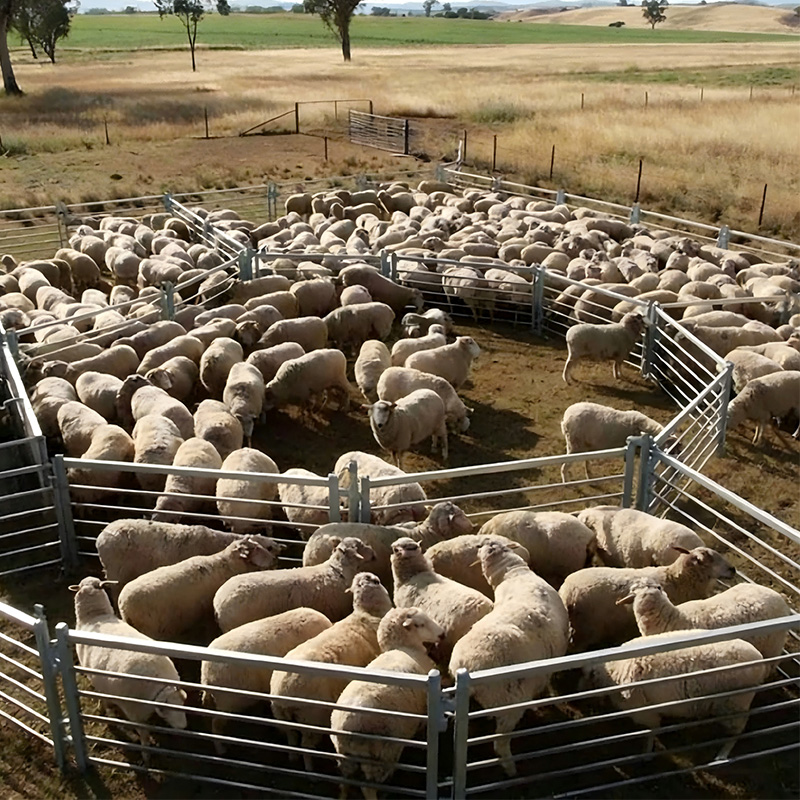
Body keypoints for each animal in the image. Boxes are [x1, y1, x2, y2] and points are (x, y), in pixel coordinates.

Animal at [117, 537, 279, 642]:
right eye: (257, 548)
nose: (274, 559)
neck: (225, 565)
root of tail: (123, 603)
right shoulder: (207, 616)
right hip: (149, 629)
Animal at [270, 572, 394, 769]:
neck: (368, 613)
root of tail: (281, 693)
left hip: (281, 715)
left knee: (291, 736)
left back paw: (293, 757)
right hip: (311, 717)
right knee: (306, 746)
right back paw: (310, 769)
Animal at [329, 607, 443, 798]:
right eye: (420, 624)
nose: (443, 635)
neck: (403, 648)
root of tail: (349, 726)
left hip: (346, 759)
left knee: (345, 783)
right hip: (381, 756)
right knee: (369, 788)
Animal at [449, 540, 569, 775]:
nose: (481, 544)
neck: (515, 574)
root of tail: (466, 666)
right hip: (509, 703)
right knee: (500, 742)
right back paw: (511, 768)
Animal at [583, 631, 767, 761]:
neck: (614, 668)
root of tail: (760, 658)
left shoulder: (645, 712)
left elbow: (651, 731)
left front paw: (646, 753)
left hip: (734, 702)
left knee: (738, 729)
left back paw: (722, 754)